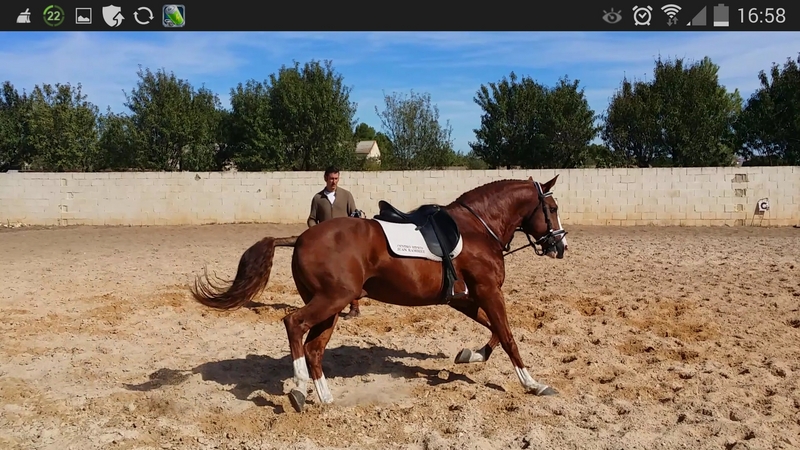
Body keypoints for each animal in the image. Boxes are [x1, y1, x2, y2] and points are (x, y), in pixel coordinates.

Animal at [191, 175, 568, 413]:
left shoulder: (464, 297)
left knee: (314, 348)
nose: (560, 246)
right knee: (293, 324)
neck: (477, 228)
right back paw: (298, 388)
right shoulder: (488, 291)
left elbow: (494, 331)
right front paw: (533, 384)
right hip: (331, 300)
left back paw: (325, 399)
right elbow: (507, 335)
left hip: (331, 307)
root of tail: (301, 238)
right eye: (552, 209)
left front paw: (470, 356)